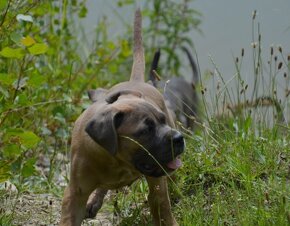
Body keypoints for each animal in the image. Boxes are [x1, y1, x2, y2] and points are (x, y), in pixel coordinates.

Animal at [60, 8, 185, 226]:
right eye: (146, 130)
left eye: (162, 120)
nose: (178, 138)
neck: (117, 161)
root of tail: (136, 81)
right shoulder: (75, 194)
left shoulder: (158, 187)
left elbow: (163, 211)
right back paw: (94, 200)